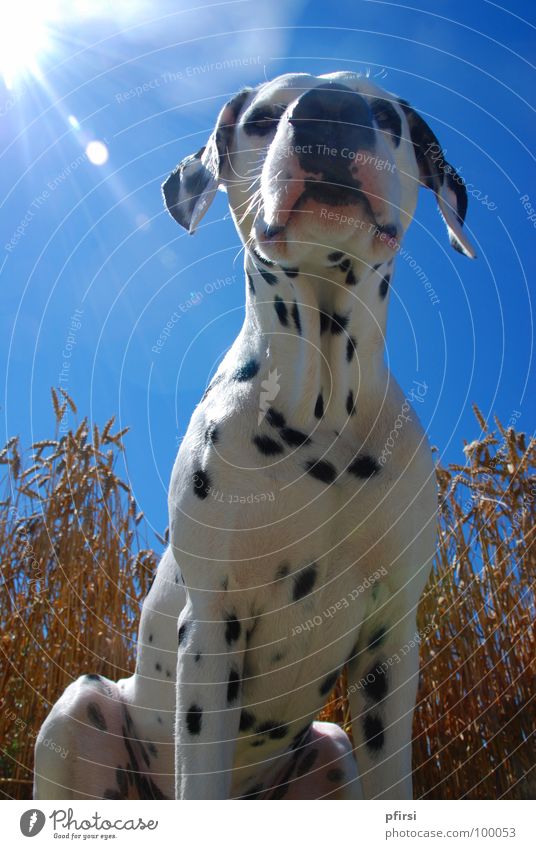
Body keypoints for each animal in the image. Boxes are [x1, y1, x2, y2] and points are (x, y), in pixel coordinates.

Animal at [35, 73, 476, 800]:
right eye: (265, 117)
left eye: (386, 116)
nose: (331, 112)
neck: (321, 408)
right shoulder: (210, 636)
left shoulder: (389, 644)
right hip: (83, 705)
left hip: (331, 749)